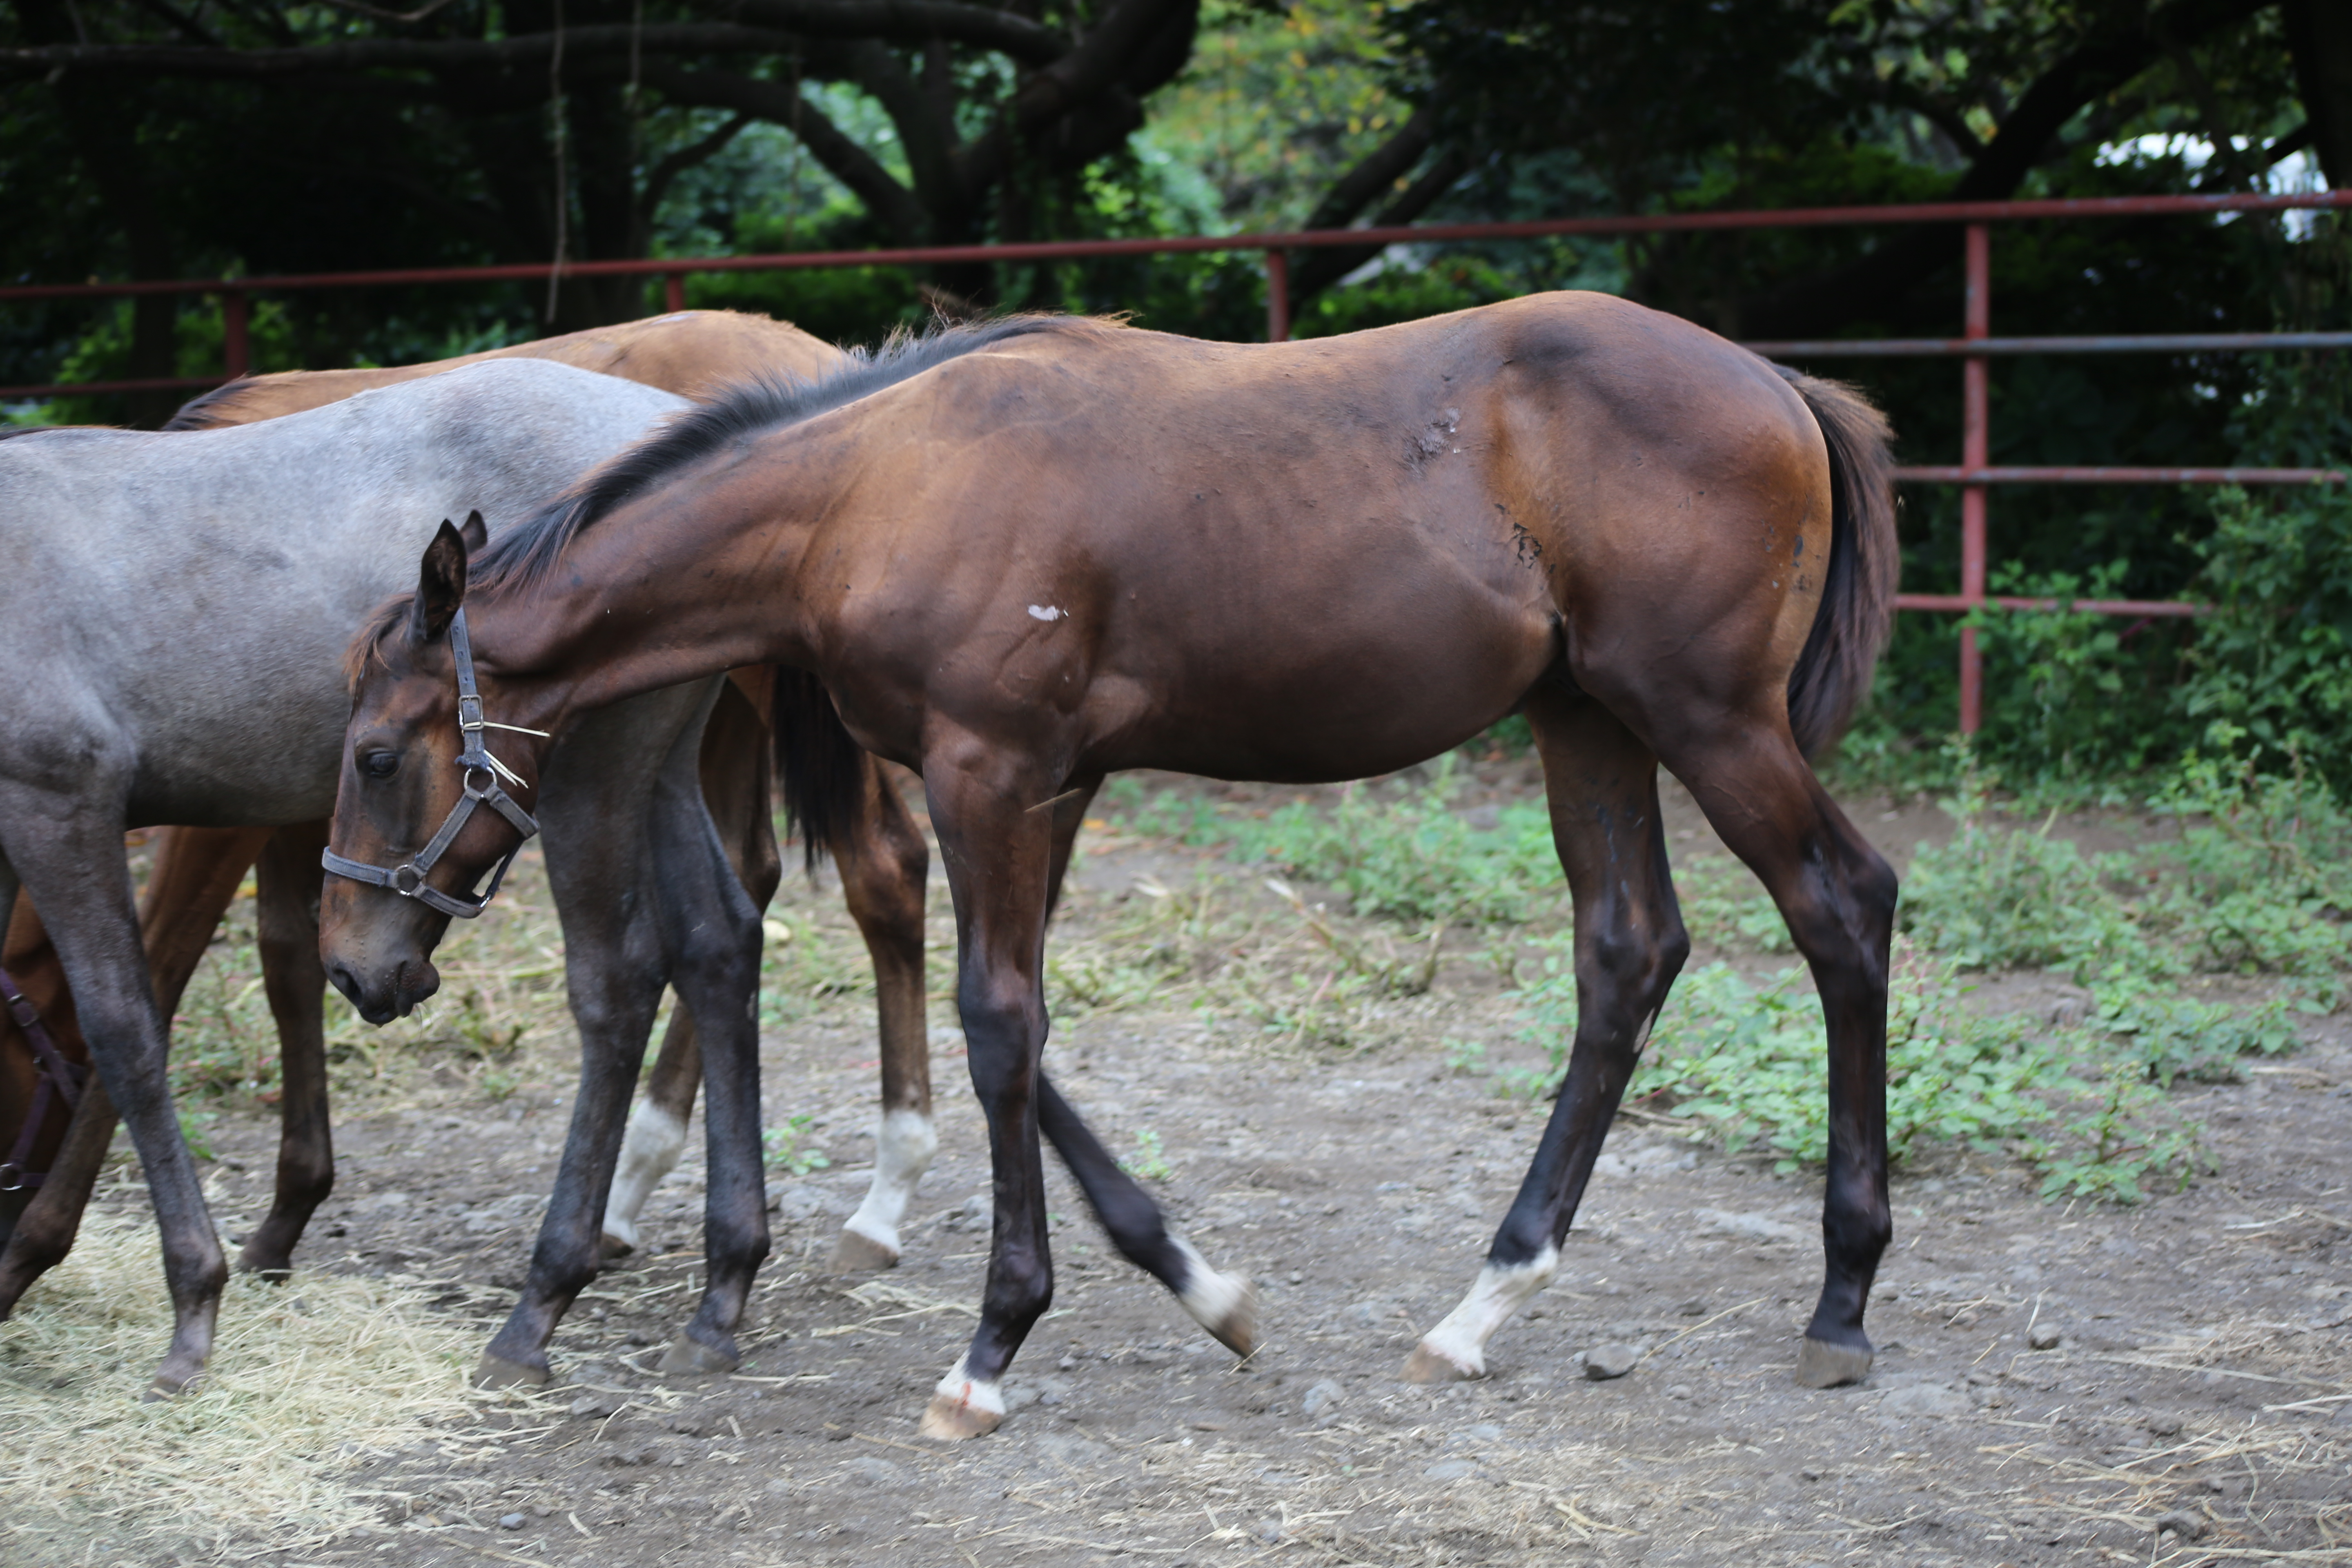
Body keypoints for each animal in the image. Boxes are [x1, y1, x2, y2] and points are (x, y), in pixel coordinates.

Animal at [332, 301, 1900, 1439]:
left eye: (372, 753)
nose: (363, 966)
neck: (870, 489)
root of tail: (1780, 386)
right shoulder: (1048, 783)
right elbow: (1027, 1031)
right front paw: (1199, 1284)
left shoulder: (990, 770)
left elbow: (995, 1025)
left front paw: (990, 1347)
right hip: (1587, 722)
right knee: (1626, 951)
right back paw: (1482, 1307)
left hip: (1706, 718)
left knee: (1845, 908)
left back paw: (1841, 1298)